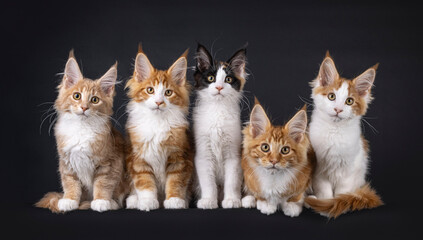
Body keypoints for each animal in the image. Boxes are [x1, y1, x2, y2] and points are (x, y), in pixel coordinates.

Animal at [35, 50, 128, 212]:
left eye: (95, 100)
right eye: (77, 96)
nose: (84, 107)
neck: (82, 128)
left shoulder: (108, 163)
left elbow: (103, 183)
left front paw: (101, 201)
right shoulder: (67, 162)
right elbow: (70, 183)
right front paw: (69, 200)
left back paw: (112, 203)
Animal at [193, 43, 248, 208]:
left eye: (228, 79)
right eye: (211, 78)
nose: (219, 87)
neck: (217, 111)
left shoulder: (233, 155)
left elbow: (232, 181)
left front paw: (232, 200)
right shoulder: (203, 154)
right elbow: (208, 183)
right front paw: (208, 200)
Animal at [304, 52, 384, 218]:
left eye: (349, 101)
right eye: (331, 97)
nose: (338, 109)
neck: (334, 133)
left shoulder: (349, 170)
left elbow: (341, 193)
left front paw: (334, 206)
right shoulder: (319, 172)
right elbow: (325, 192)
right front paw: (324, 207)